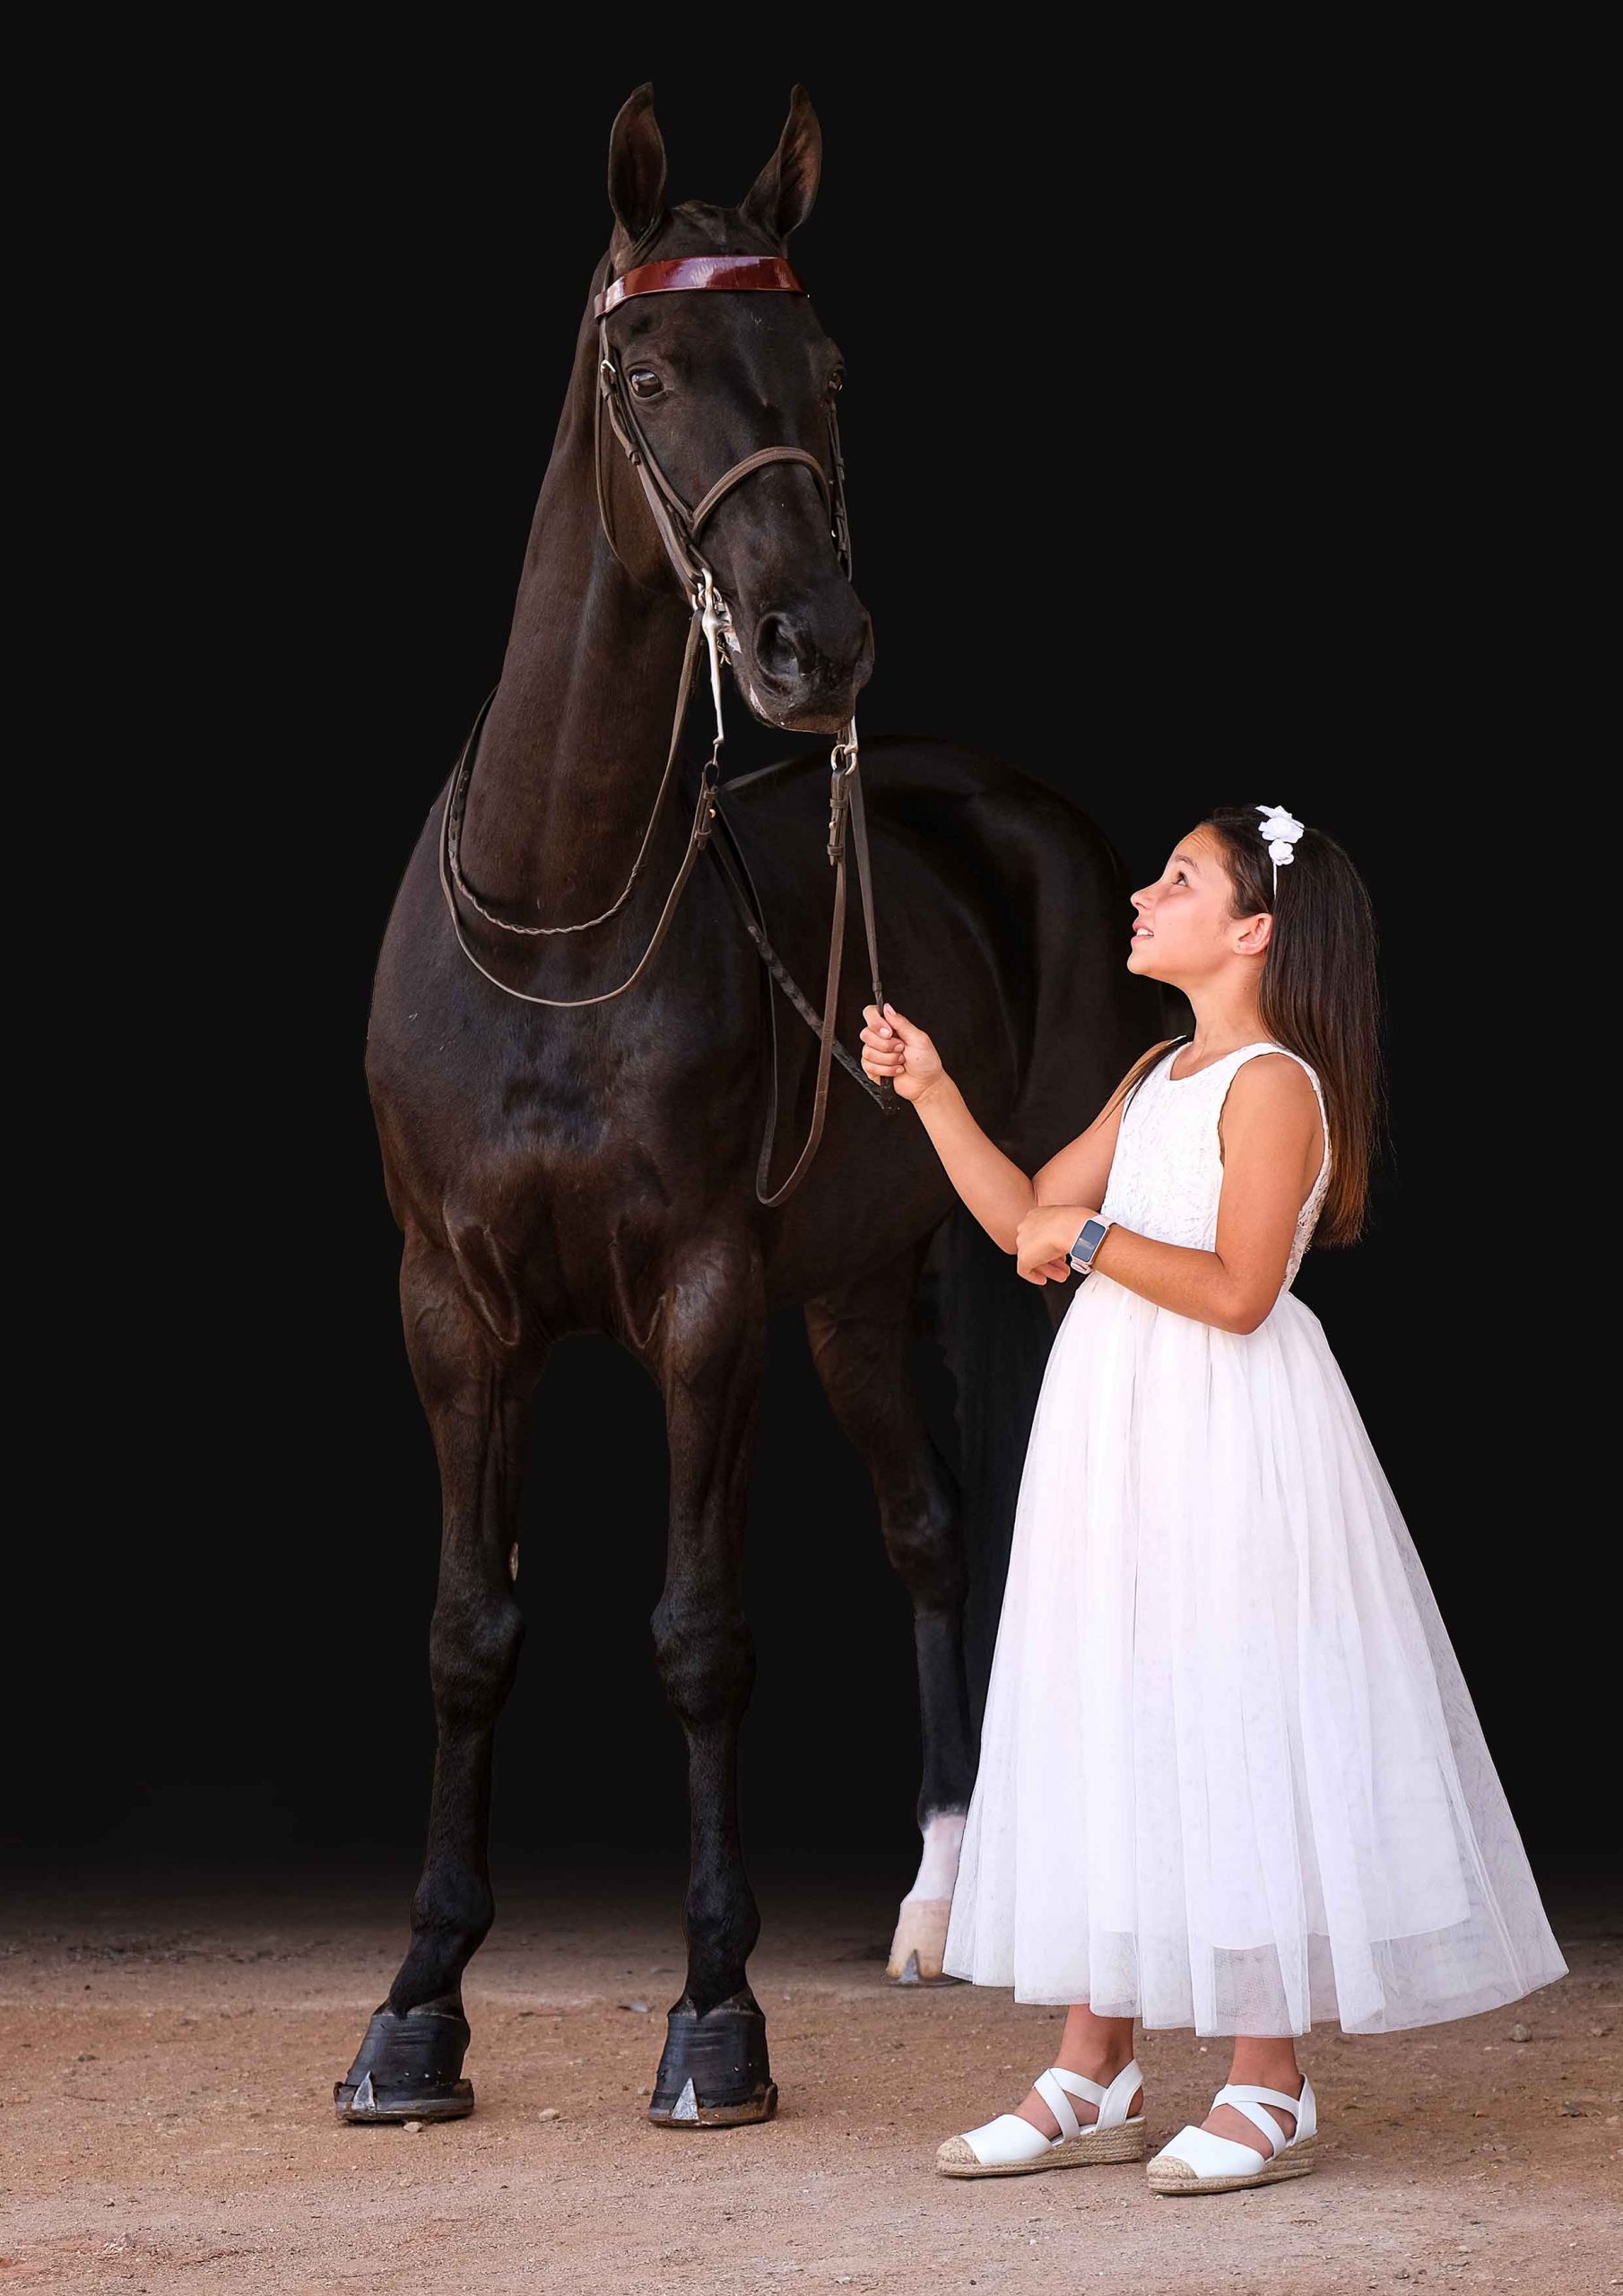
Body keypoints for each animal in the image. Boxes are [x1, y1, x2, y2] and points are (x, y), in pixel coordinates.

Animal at [336, 80, 1168, 2129]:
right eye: (644, 368)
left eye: (827, 367)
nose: (816, 646)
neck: (554, 918)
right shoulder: (452, 1305)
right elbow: (468, 1631)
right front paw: (418, 2005)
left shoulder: (703, 1299)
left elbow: (700, 1639)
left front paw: (716, 2010)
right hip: (857, 1292)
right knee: (928, 1527)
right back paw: (942, 1893)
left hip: (1014, 1259)